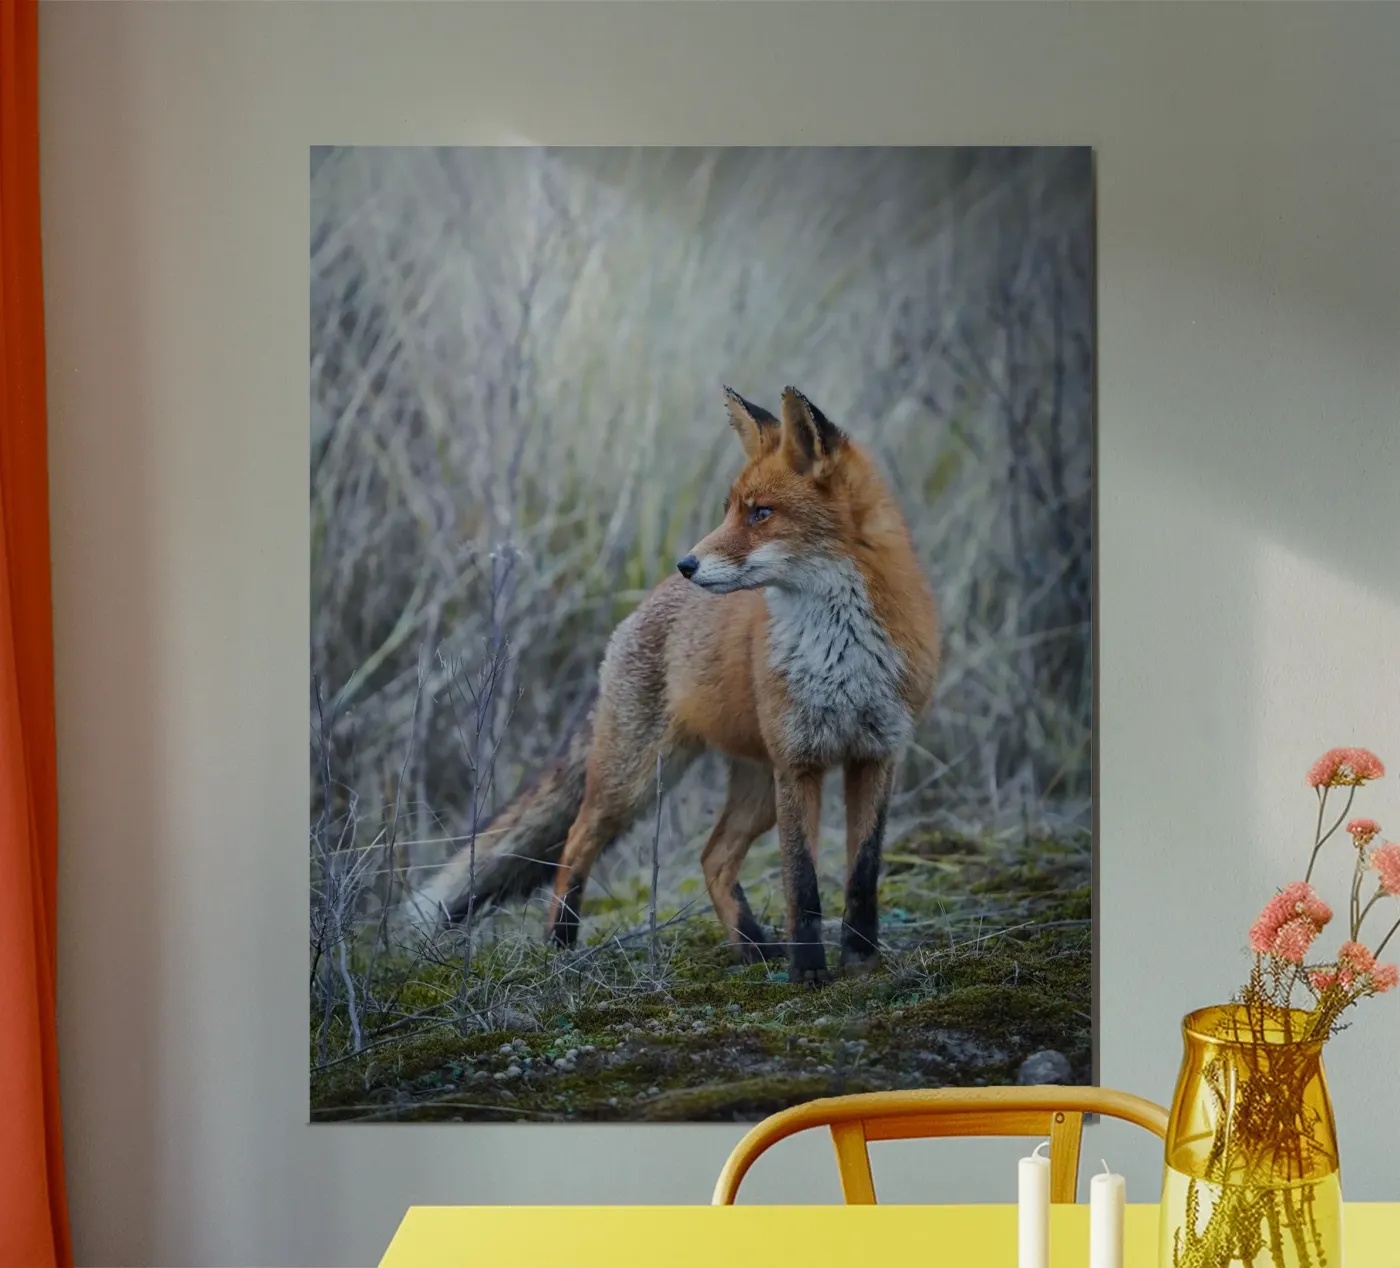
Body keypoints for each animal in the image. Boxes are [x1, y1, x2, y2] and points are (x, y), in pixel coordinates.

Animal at [411, 386, 940, 984]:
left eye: (761, 513)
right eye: (731, 509)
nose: (687, 562)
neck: (840, 651)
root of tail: (644, 603)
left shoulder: (876, 754)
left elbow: (862, 875)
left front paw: (862, 960)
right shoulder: (799, 763)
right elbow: (802, 884)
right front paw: (808, 972)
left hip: (756, 789)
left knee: (712, 857)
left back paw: (752, 947)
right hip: (636, 780)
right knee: (576, 841)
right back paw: (560, 945)